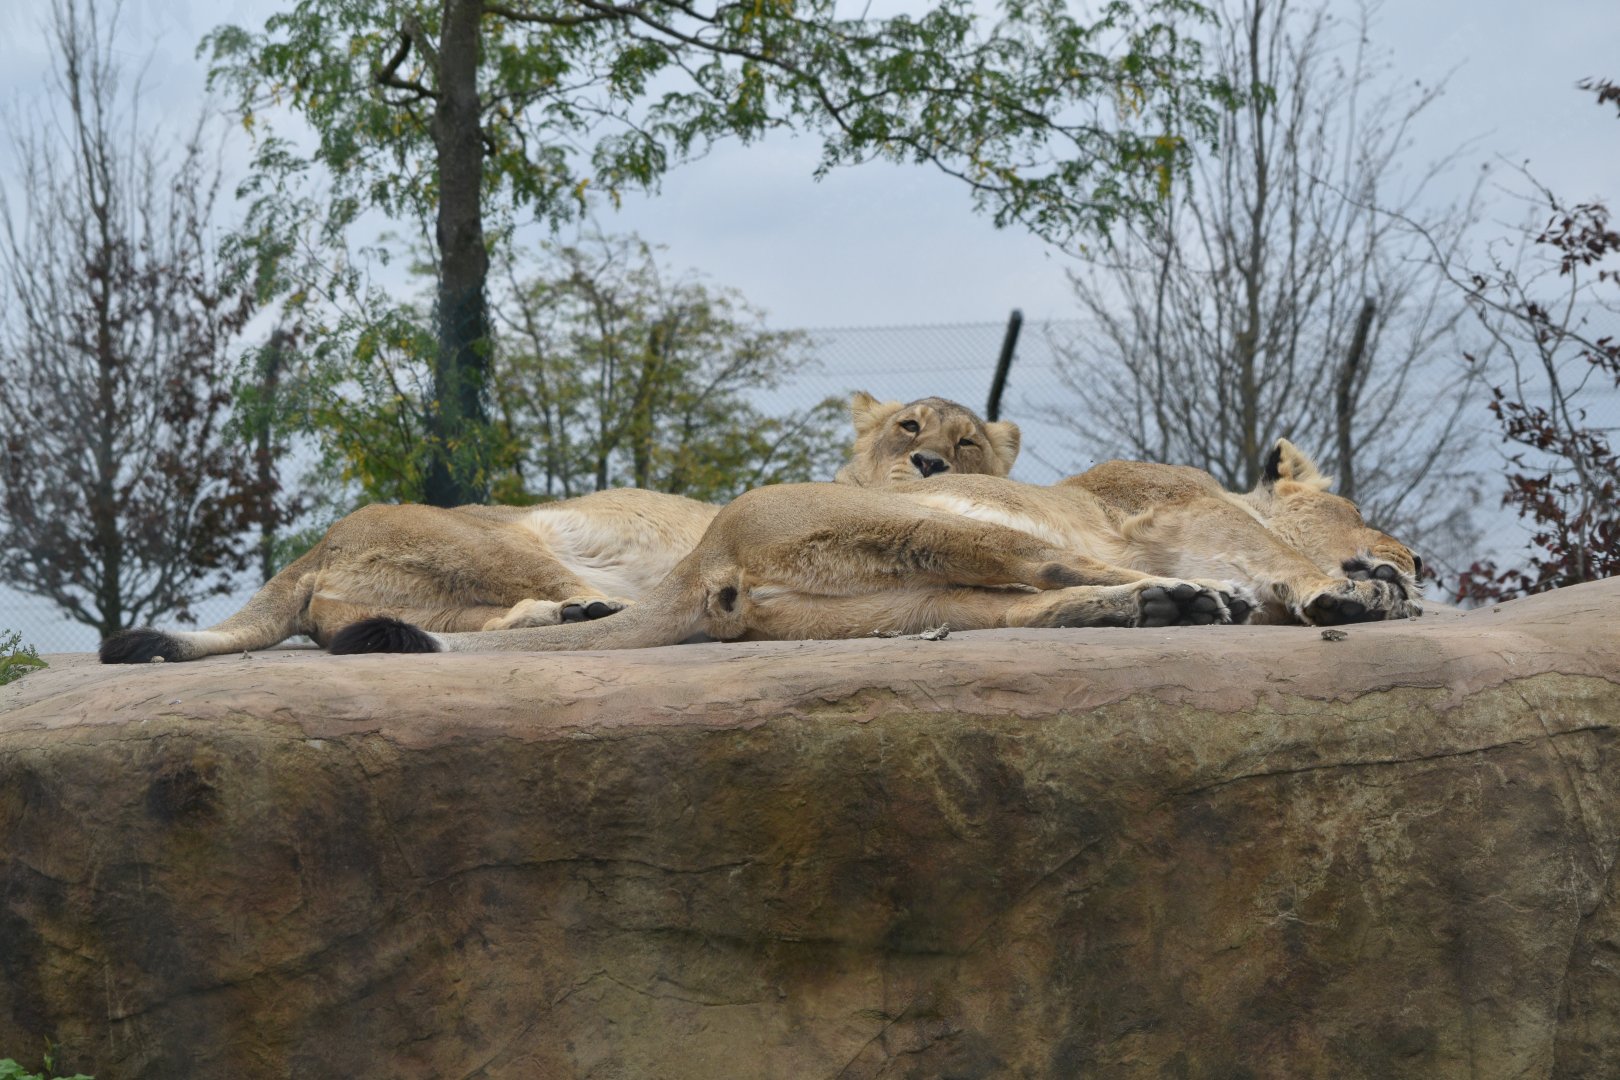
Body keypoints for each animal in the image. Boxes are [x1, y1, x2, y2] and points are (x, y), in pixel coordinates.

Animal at [99, 392, 1021, 664]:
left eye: (966, 440)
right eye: (910, 427)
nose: (930, 465)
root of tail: (315, 545)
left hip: (428, 592)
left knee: (461, 621)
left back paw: (569, 616)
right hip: (501, 539)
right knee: (583, 597)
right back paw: (595, 611)